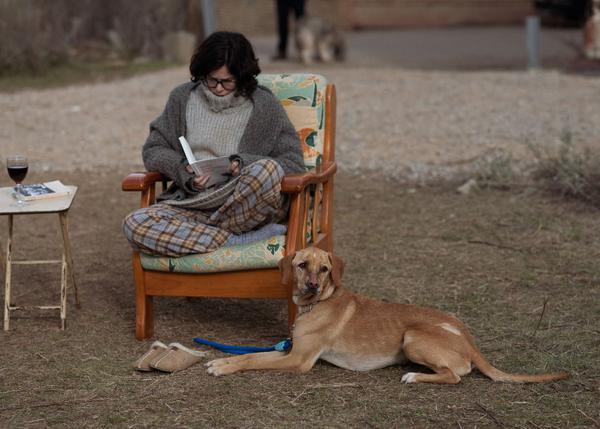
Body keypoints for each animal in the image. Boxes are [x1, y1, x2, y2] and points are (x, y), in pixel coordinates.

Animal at [206, 246, 568, 382]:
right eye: (302, 265)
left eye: (324, 270)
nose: (311, 285)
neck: (317, 303)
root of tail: (468, 338)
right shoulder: (290, 350)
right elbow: (254, 354)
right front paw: (223, 360)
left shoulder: (298, 360)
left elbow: (253, 360)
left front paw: (225, 366)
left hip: (413, 337)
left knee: (454, 375)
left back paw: (415, 377)